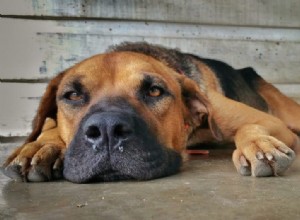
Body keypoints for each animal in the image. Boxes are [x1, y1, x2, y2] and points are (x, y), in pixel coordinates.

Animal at [0, 42, 300, 183]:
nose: (107, 130)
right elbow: (48, 128)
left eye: (155, 91)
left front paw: (259, 145)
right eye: (72, 95)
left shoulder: (269, 121)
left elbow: (249, 127)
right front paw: (40, 146)